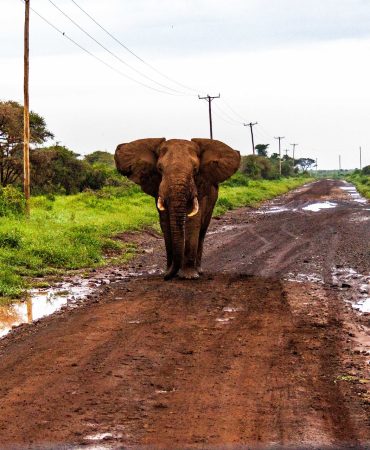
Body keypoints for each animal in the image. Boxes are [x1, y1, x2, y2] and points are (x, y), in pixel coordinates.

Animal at [115, 137, 240, 280]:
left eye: (195, 170)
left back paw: (199, 270)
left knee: (203, 230)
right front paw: (169, 271)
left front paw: (188, 276)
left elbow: (193, 222)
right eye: (159, 169)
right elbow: (165, 223)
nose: (165, 277)